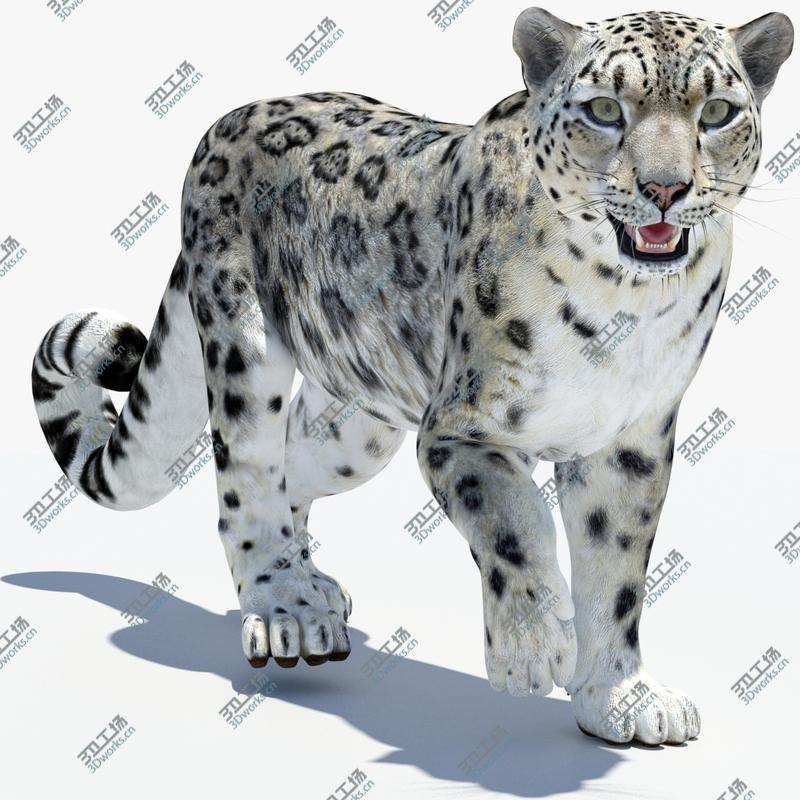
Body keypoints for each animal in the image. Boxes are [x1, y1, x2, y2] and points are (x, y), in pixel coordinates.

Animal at [31, 8, 793, 745]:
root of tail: (230, 118)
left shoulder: (632, 439)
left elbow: (618, 572)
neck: (624, 305)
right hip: (243, 339)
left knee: (290, 466)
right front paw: (531, 646)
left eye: (717, 111)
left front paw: (620, 699)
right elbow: (513, 518)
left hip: (354, 431)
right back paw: (286, 606)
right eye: (605, 108)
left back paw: (313, 579)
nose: (666, 188)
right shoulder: (464, 426)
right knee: (245, 479)